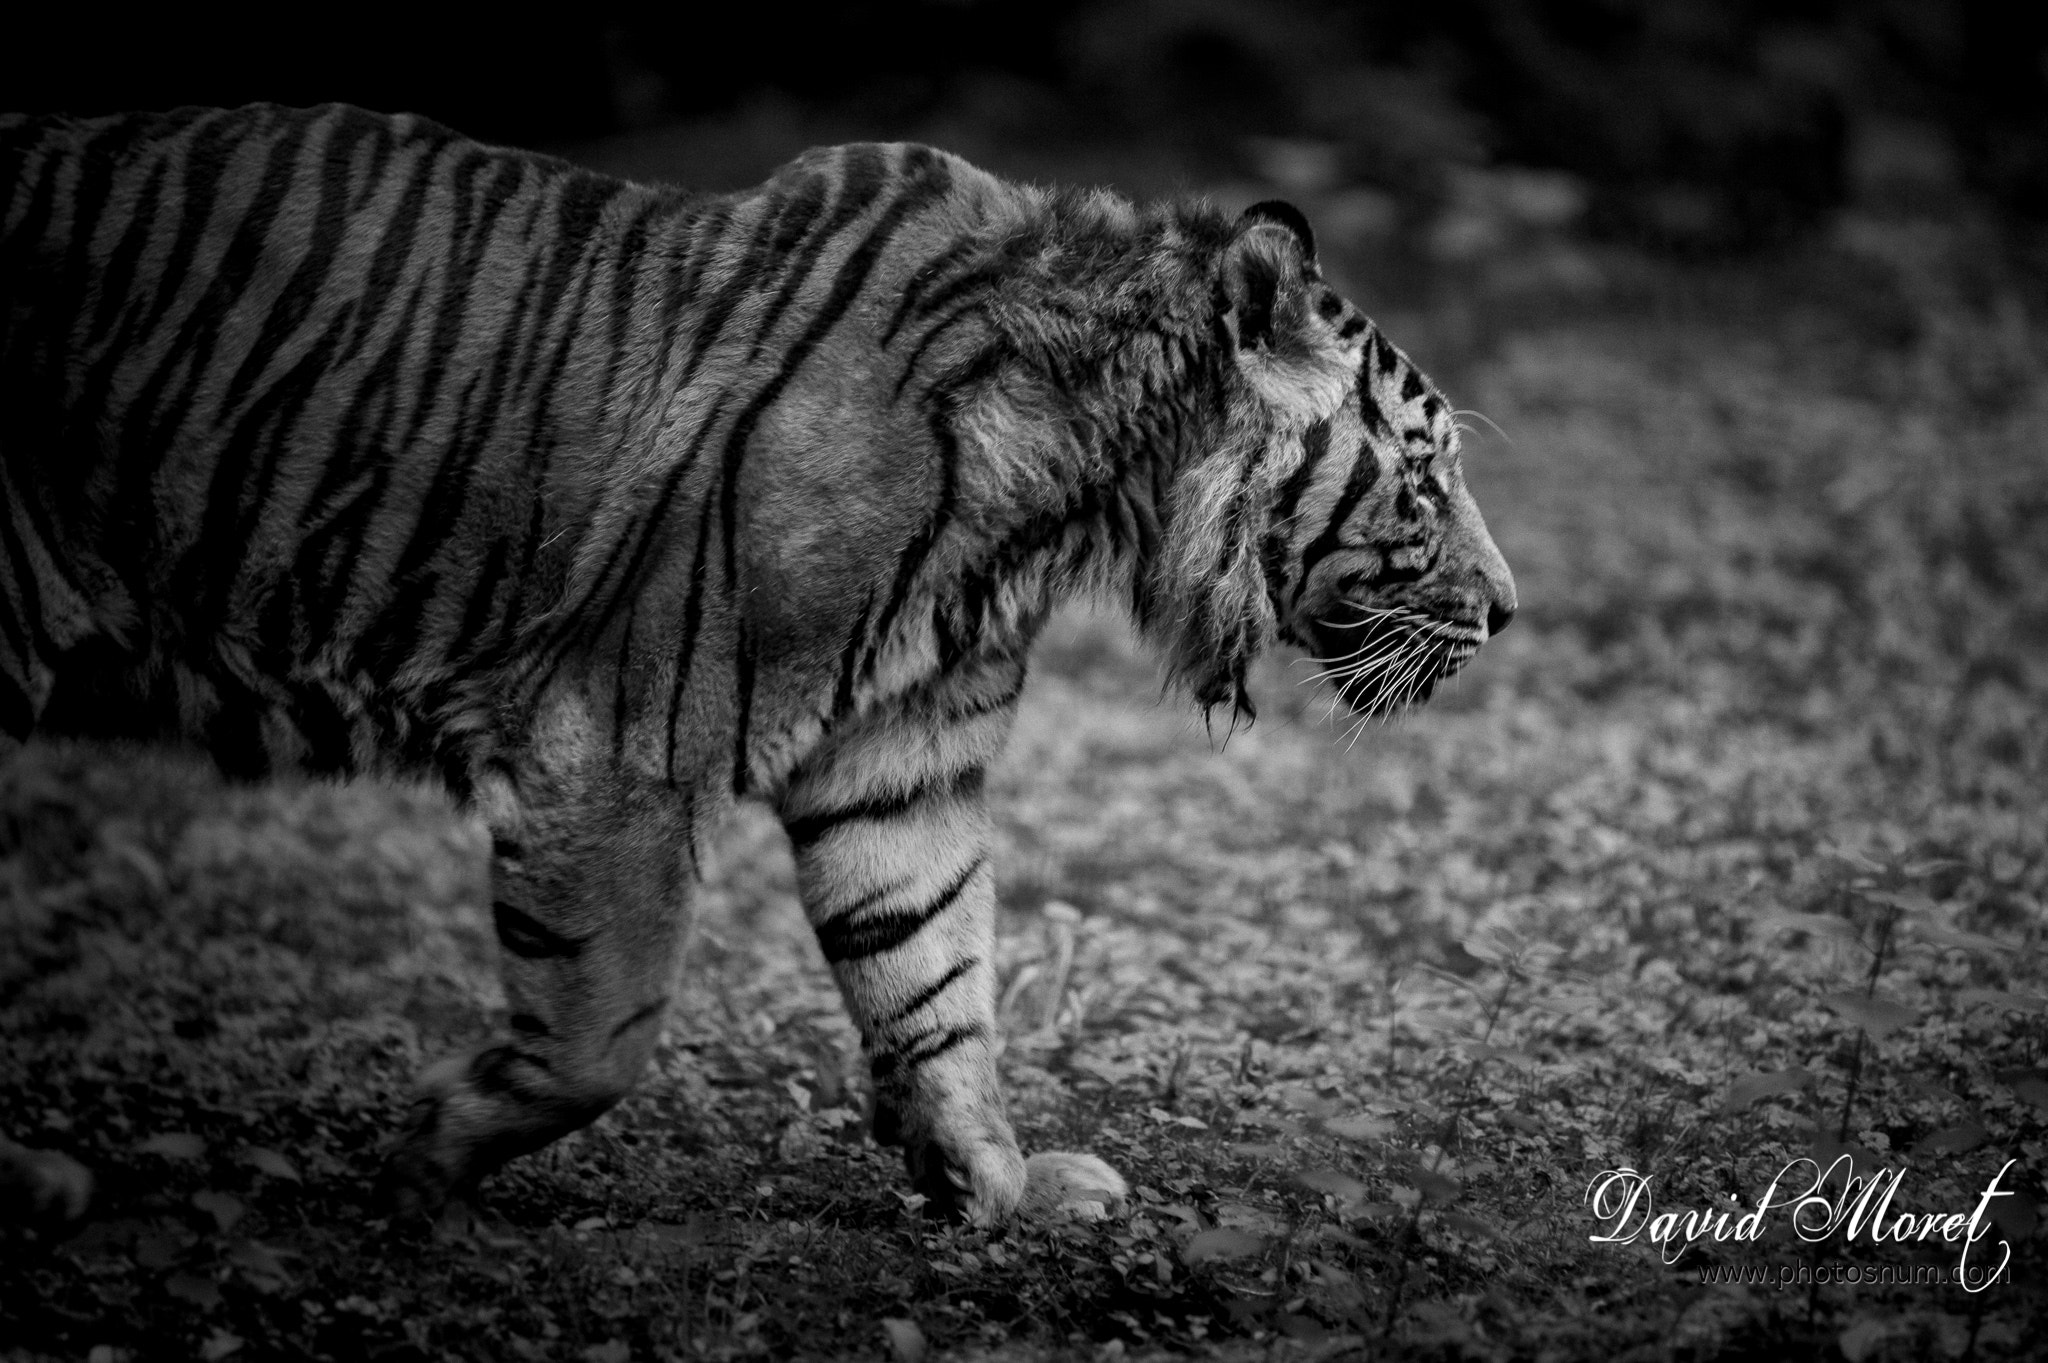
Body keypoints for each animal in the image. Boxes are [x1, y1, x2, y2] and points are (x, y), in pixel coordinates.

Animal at [0, 103, 1515, 1226]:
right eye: (1426, 479)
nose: (1507, 613)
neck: (1076, 493)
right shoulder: (621, 739)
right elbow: (602, 1024)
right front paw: (427, 1149)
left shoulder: (901, 753)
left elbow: (933, 966)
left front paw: (997, 1180)